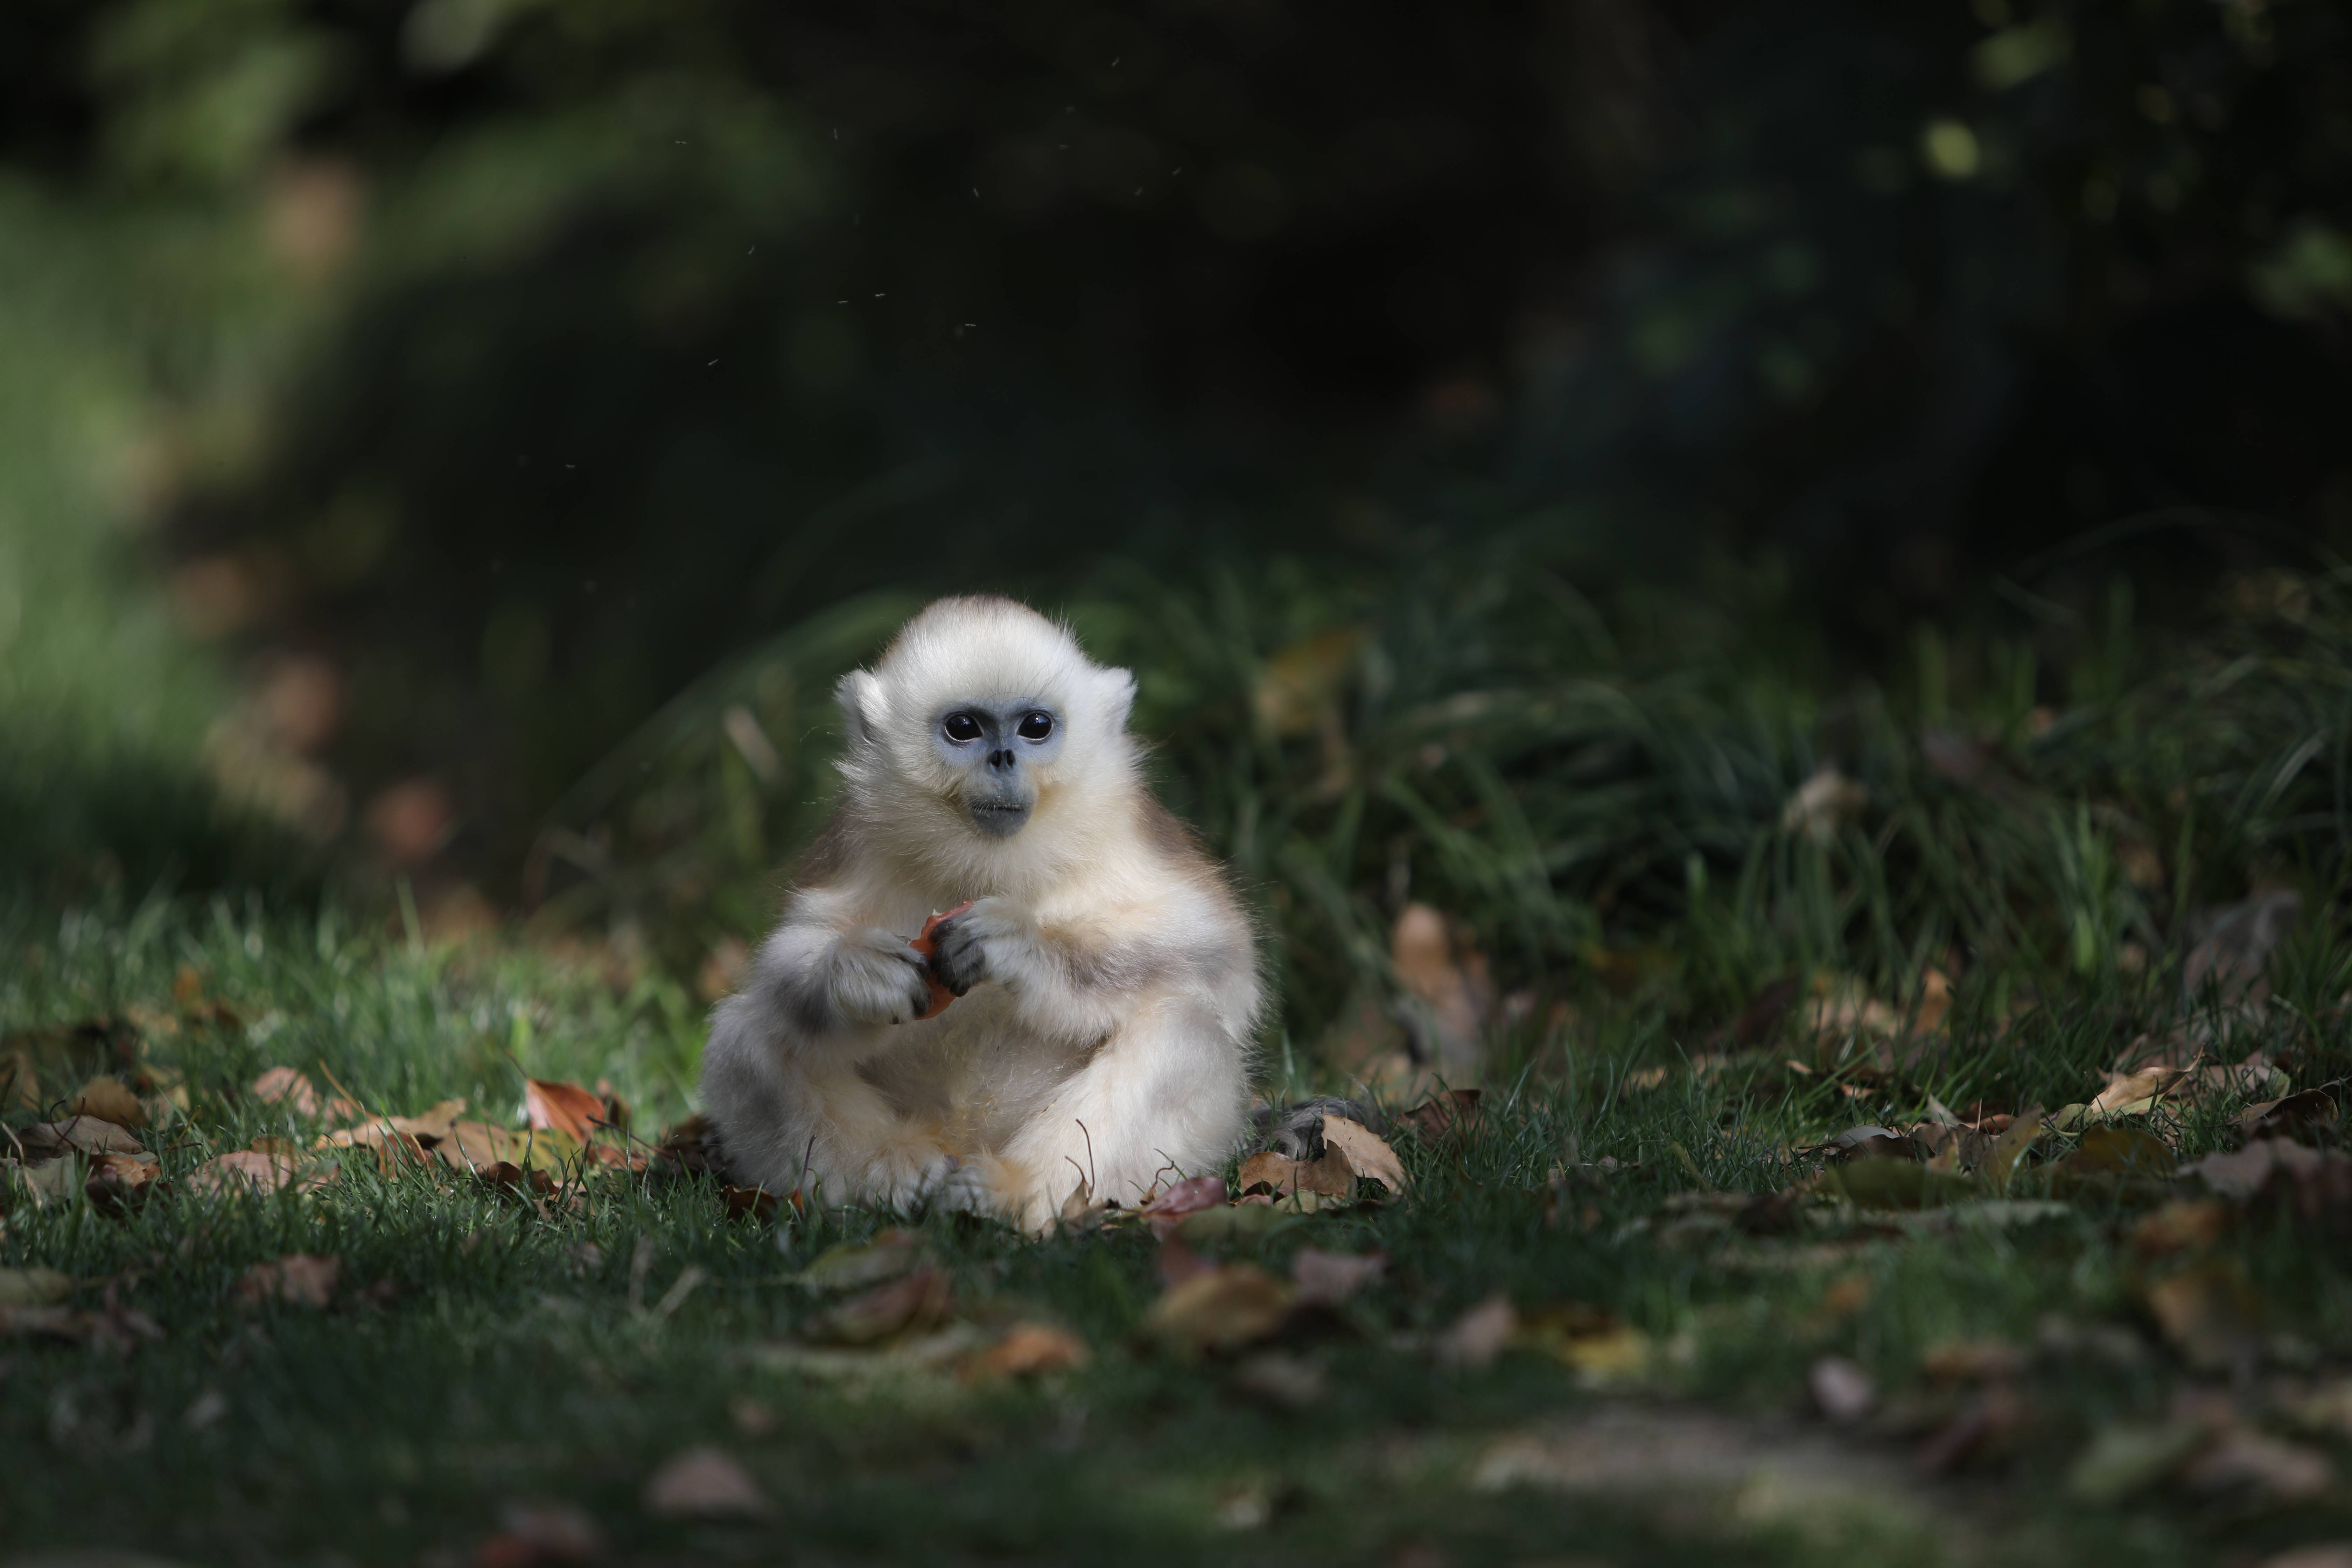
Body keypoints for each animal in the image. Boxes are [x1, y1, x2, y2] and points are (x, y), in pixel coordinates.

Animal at [696, 595, 1260, 1232]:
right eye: (964, 728)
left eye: (1036, 727)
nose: (1002, 757)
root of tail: (964, 1143)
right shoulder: (852, 843)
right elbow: (785, 964)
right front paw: (859, 973)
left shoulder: (1133, 829)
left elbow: (1215, 954)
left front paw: (1024, 949)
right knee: (749, 1033)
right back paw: (895, 1175)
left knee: (1184, 1030)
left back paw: (1009, 1192)